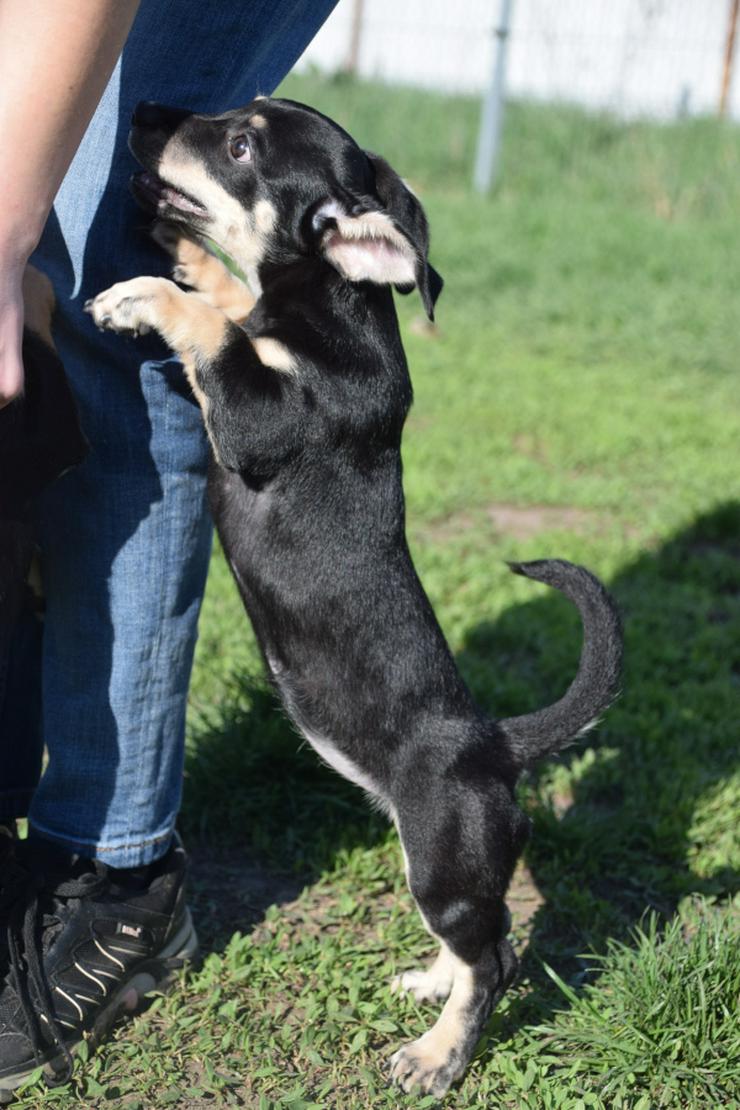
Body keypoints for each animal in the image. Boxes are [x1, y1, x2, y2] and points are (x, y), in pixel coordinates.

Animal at [82, 97, 625, 1101]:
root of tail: (496, 745)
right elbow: (230, 304)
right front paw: (188, 260)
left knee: (497, 959)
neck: (324, 305)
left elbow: (213, 331)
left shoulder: (257, 417)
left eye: (242, 145)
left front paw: (144, 292)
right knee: (482, 937)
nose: (145, 111)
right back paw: (431, 984)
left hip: (444, 856)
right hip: (435, 858)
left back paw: (438, 1056)